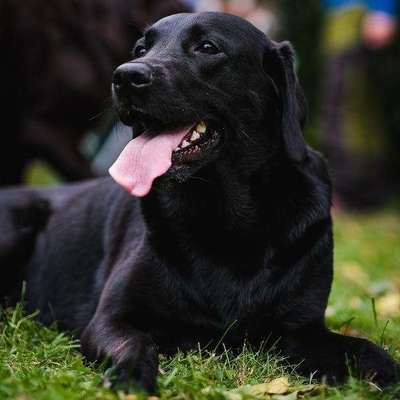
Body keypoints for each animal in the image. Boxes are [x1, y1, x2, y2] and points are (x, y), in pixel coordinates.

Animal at [0, 11, 398, 390]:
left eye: (207, 47)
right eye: (140, 50)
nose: (125, 76)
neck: (226, 217)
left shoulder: (302, 327)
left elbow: (366, 349)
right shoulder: (112, 318)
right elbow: (133, 345)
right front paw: (129, 378)